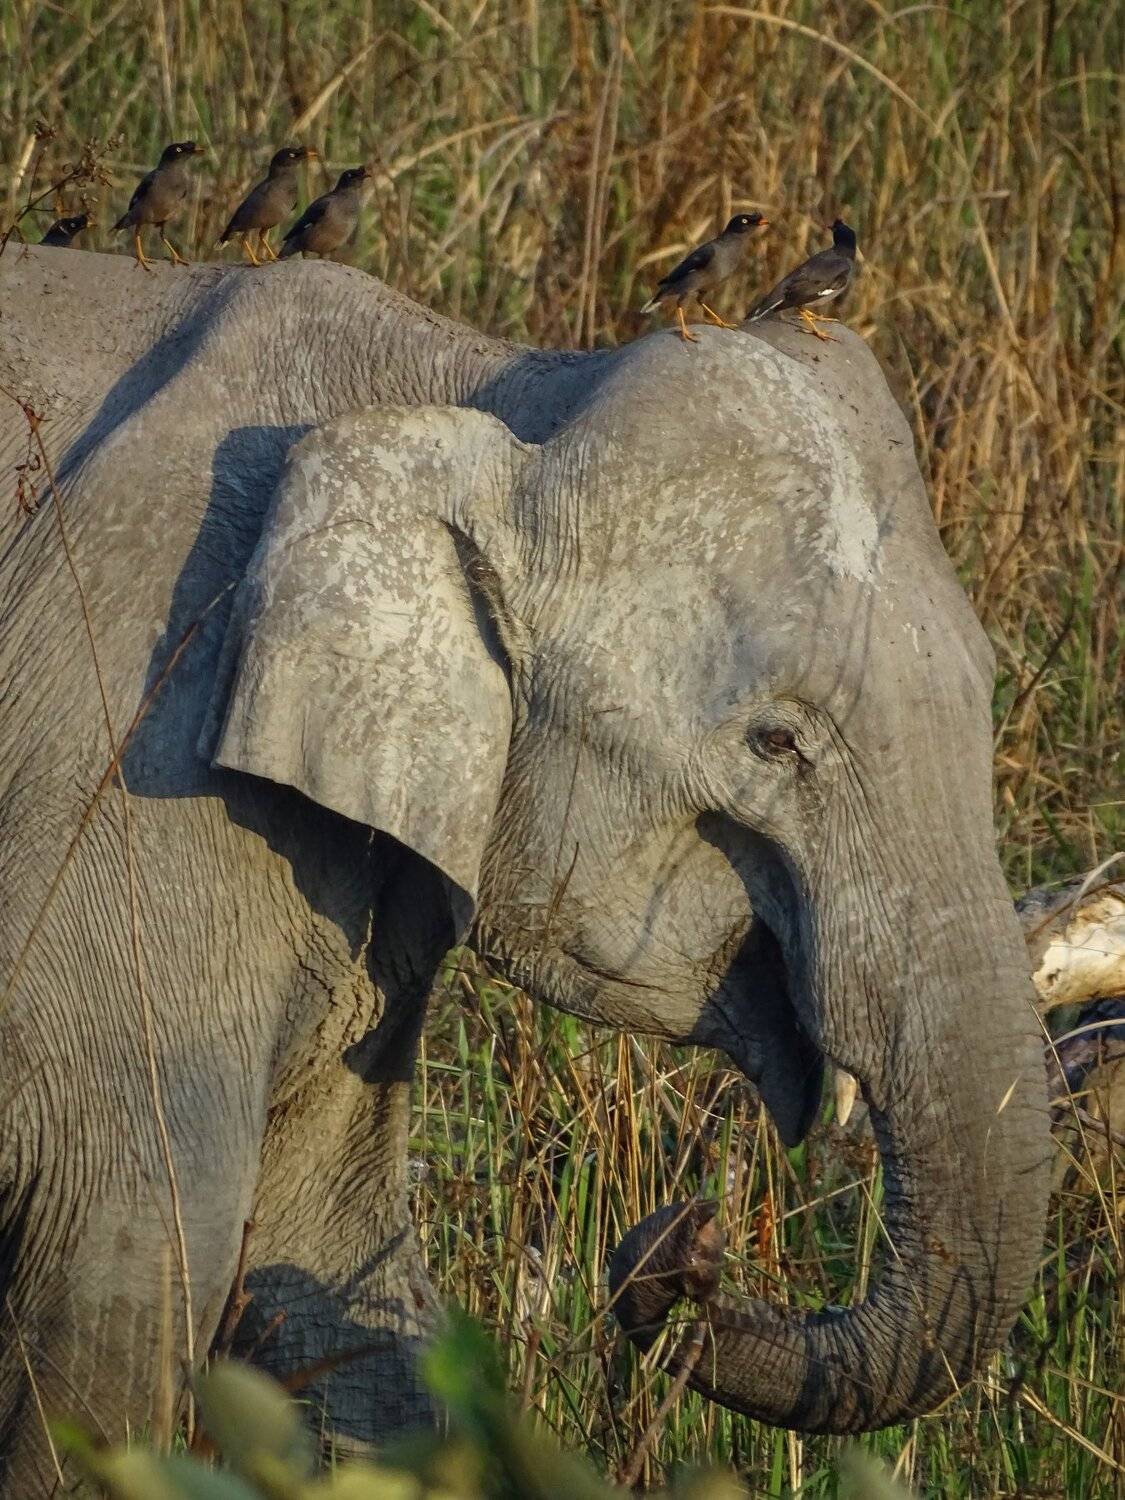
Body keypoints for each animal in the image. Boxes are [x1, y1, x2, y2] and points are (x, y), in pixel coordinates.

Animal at [0, 243, 1050, 1492]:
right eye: (775, 743)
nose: (681, 1246)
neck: (489, 387)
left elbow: (326, 1261)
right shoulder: (128, 771)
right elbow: (119, 1288)